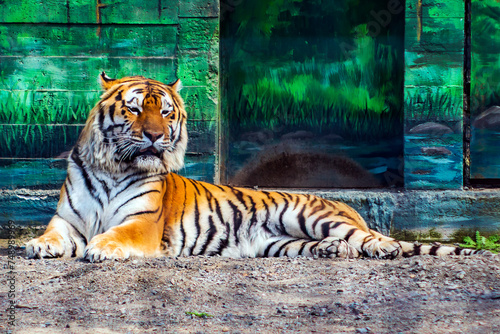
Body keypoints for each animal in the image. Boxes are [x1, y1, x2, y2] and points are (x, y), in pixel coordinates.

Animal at [25, 74, 486, 262]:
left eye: (167, 113)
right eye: (136, 110)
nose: (156, 136)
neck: (114, 168)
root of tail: (347, 204)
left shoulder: (142, 223)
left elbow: (115, 234)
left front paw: (100, 248)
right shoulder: (67, 219)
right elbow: (53, 234)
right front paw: (38, 246)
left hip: (312, 215)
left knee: (373, 236)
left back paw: (382, 248)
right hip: (277, 243)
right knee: (338, 245)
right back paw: (335, 251)